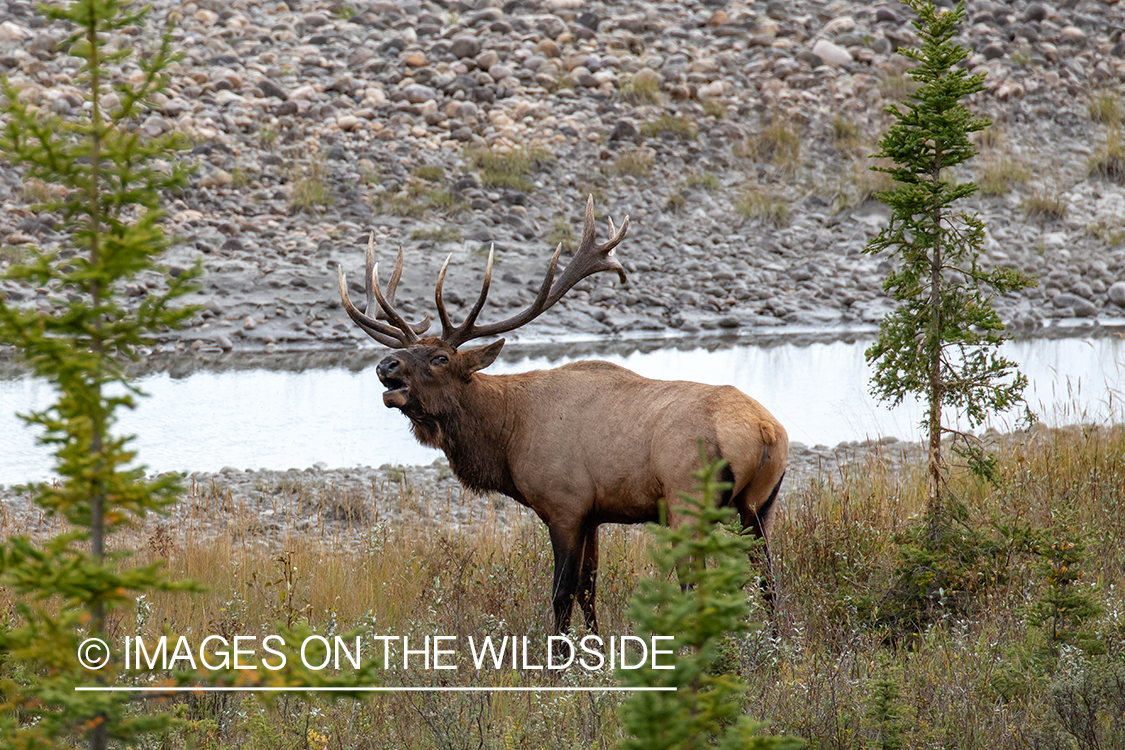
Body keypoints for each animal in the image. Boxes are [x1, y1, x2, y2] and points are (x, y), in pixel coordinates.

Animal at [337, 197, 787, 634]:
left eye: (440, 358)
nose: (386, 365)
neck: (508, 436)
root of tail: (765, 430)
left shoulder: (565, 504)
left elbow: (562, 593)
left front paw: (560, 656)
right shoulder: (593, 514)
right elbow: (589, 589)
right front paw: (596, 651)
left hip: (688, 499)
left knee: (696, 583)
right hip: (759, 505)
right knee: (767, 580)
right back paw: (773, 645)